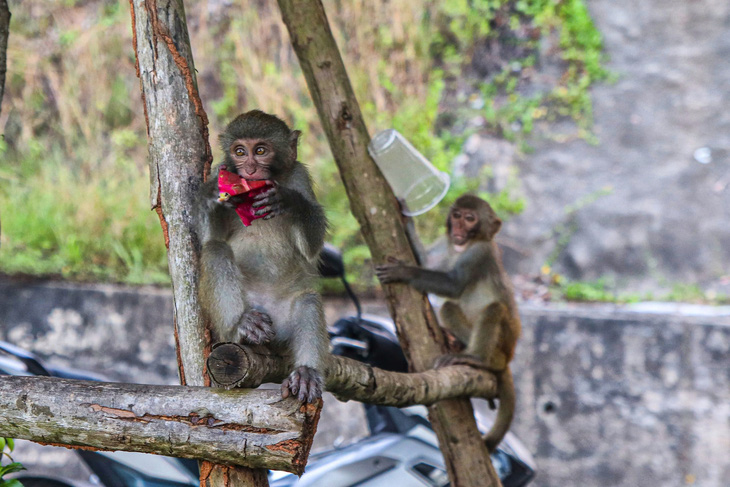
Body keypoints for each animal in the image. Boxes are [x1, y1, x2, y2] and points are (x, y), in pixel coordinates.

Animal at [196, 110, 328, 404]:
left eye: (260, 150)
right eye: (240, 152)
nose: (250, 170)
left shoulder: (299, 175)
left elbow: (312, 246)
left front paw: (289, 201)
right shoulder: (219, 172)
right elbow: (210, 238)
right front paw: (212, 195)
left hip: (284, 325)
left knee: (308, 300)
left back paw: (306, 372)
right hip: (237, 315)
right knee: (216, 250)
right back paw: (242, 325)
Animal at [376, 194, 516, 454]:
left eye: (470, 218)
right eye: (457, 215)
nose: (458, 230)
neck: (462, 247)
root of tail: (507, 357)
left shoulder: (479, 253)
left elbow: (454, 285)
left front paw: (404, 271)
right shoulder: (445, 243)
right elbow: (427, 263)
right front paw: (406, 219)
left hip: (503, 343)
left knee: (494, 309)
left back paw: (477, 358)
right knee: (449, 307)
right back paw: (456, 343)